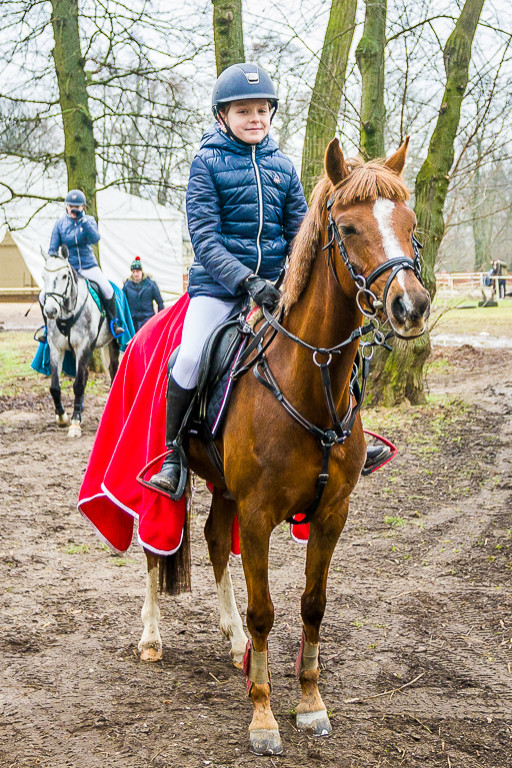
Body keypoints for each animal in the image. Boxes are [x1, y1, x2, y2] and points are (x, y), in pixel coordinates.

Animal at [138, 138, 430, 756]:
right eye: (348, 228)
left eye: (410, 224)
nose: (411, 306)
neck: (308, 381)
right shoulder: (257, 514)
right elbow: (265, 612)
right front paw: (263, 717)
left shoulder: (331, 514)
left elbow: (312, 607)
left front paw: (311, 704)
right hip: (166, 482)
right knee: (154, 551)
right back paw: (151, 637)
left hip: (222, 487)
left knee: (213, 541)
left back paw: (231, 643)